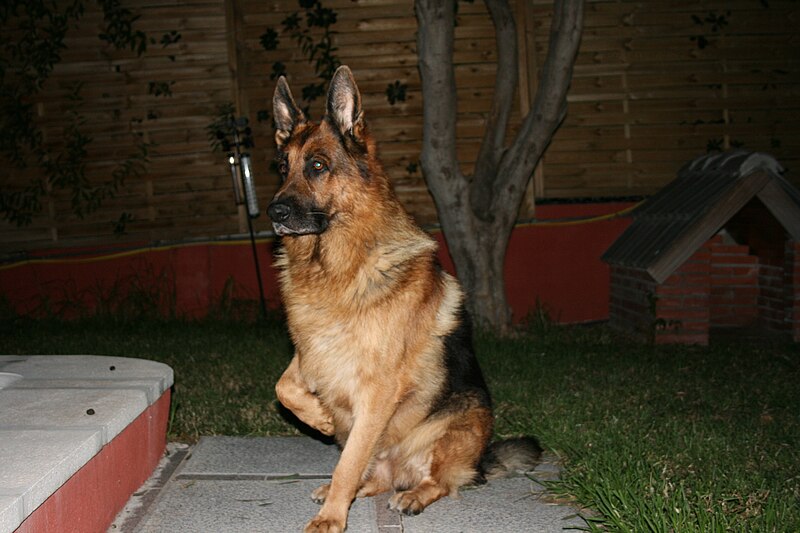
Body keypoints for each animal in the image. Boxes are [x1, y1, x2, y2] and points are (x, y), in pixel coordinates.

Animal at [270, 67, 544, 532]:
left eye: (318, 165)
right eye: (282, 167)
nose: (274, 213)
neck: (336, 264)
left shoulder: (376, 391)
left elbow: (347, 463)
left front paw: (331, 519)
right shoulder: (313, 351)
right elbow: (284, 387)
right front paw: (320, 416)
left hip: (460, 423)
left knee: (438, 481)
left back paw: (413, 494)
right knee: (375, 476)